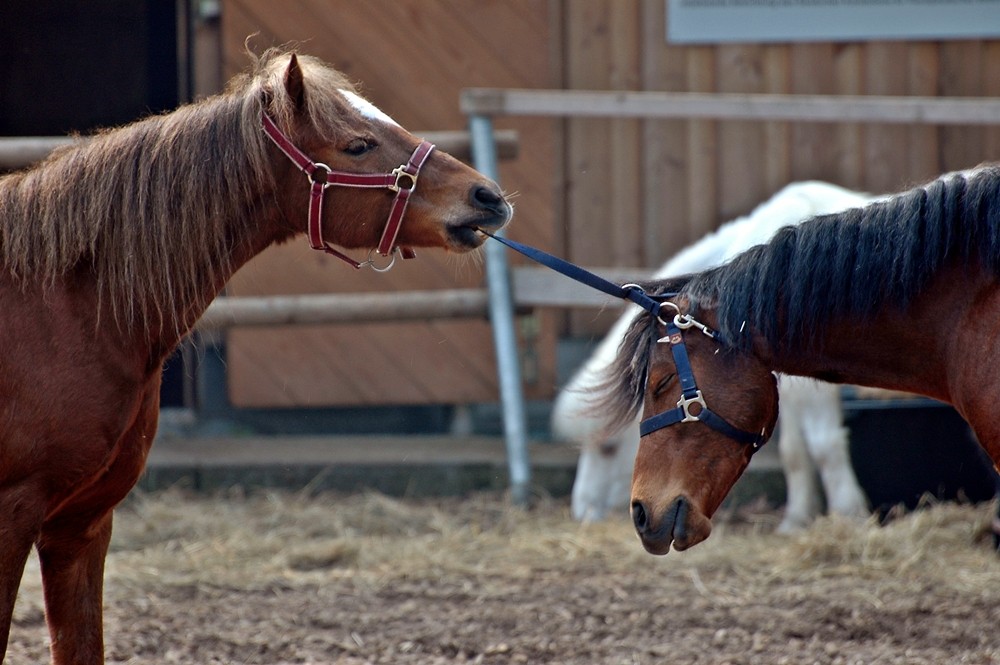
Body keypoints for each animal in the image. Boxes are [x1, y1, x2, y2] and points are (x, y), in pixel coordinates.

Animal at [556, 180, 876, 528]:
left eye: (609, 448)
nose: (583, 512)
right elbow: (795, 451)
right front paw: (797, 519)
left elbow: (824, 445)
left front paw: (850, 514)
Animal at [596, 167, 1000, 556]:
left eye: (662, 383)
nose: (640, 513)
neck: (966, 314)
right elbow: (796, 449)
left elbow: (822, 444)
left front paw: (848, 514)